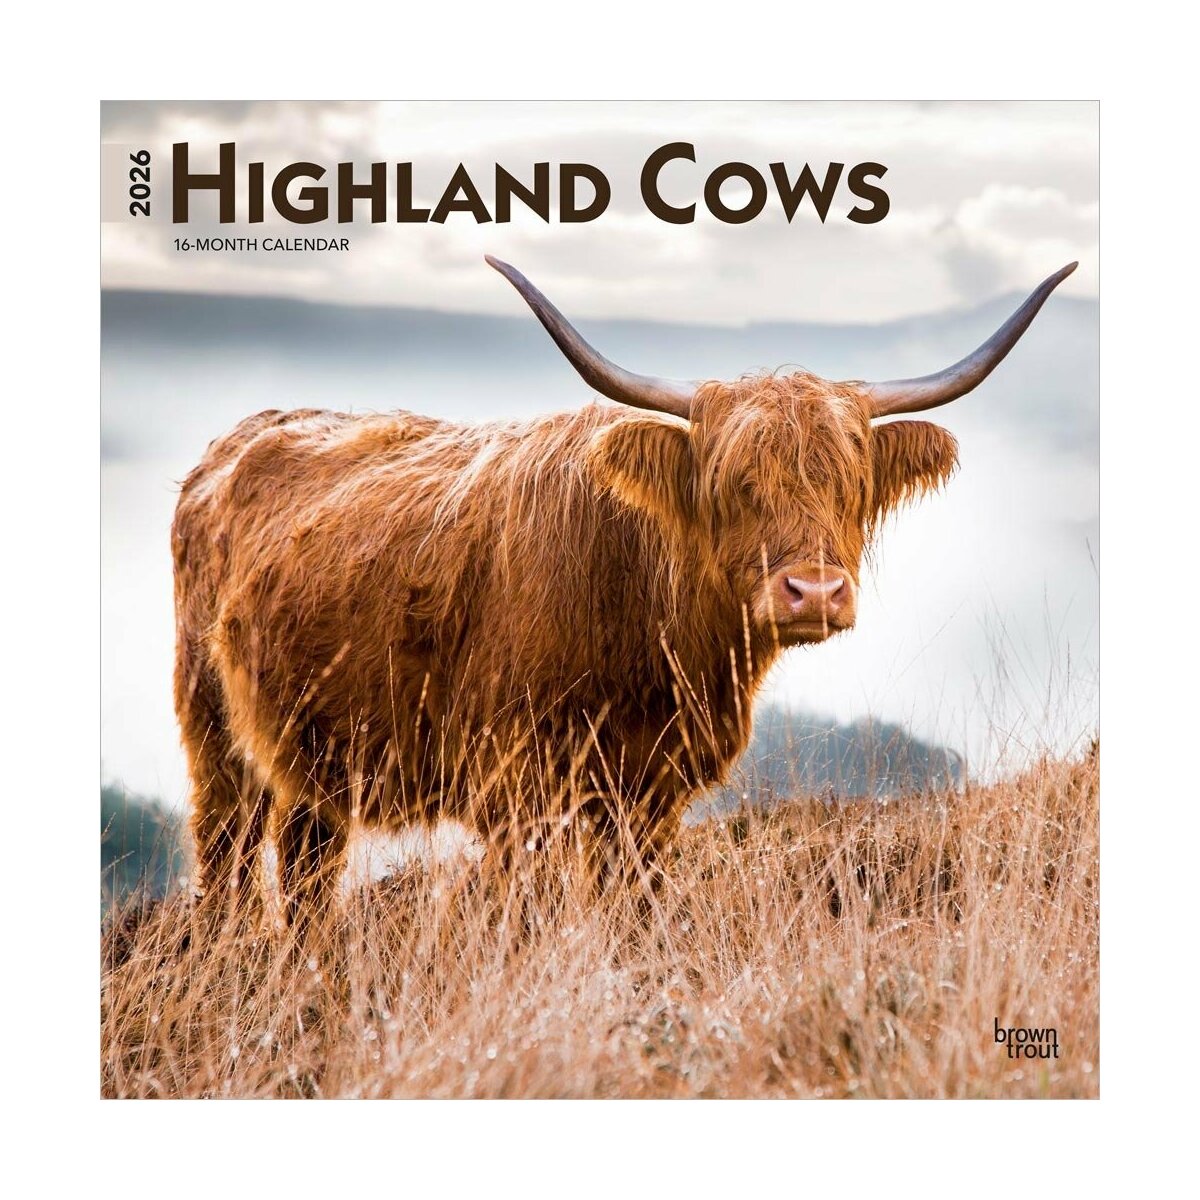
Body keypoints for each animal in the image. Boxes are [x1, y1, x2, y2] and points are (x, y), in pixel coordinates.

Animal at [172, 256, 1075, 918]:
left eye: (850, 484)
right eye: (734, 483)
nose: (814, 593)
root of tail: (236, 440)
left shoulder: (652, 797)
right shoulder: (518, 789)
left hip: (312, 760)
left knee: (307, 869)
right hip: (217, 737)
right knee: (228, 863)